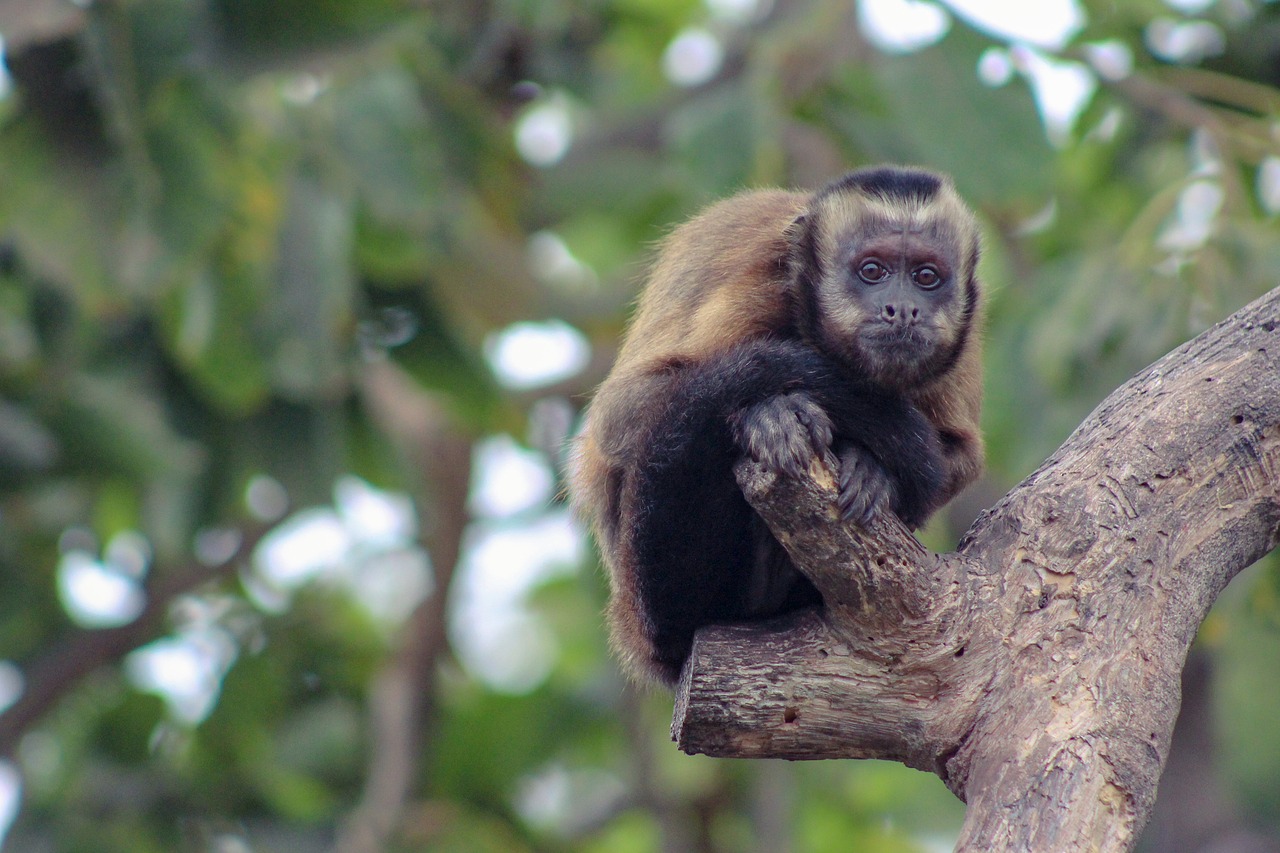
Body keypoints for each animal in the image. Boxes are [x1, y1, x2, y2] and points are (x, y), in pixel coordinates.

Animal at [576, 163, 983, 686]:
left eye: (926, 277)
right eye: (872, 271)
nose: (903, 308)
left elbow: (961, 456)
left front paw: (873, 470)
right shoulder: (760, 287)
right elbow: (619, 416)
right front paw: (764, 416)